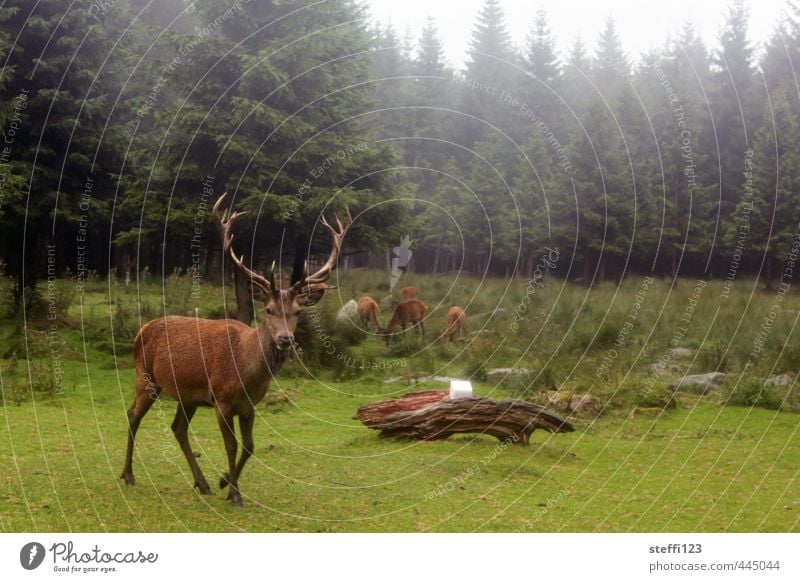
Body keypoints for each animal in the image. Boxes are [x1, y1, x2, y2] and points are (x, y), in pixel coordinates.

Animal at [120, 195, 352, 506]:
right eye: (268, 310)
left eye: (297, 311)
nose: (285, 339)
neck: (247, 372)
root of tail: (140, 330)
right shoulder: (221, 399)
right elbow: (231, 446)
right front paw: (234, 494)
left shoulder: (249, 405)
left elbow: (250, 446)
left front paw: (224, 481)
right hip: (145, 378)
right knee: (133, 414)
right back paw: (129, 475)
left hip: (188, 395)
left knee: (178, 428)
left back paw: (202, 483)